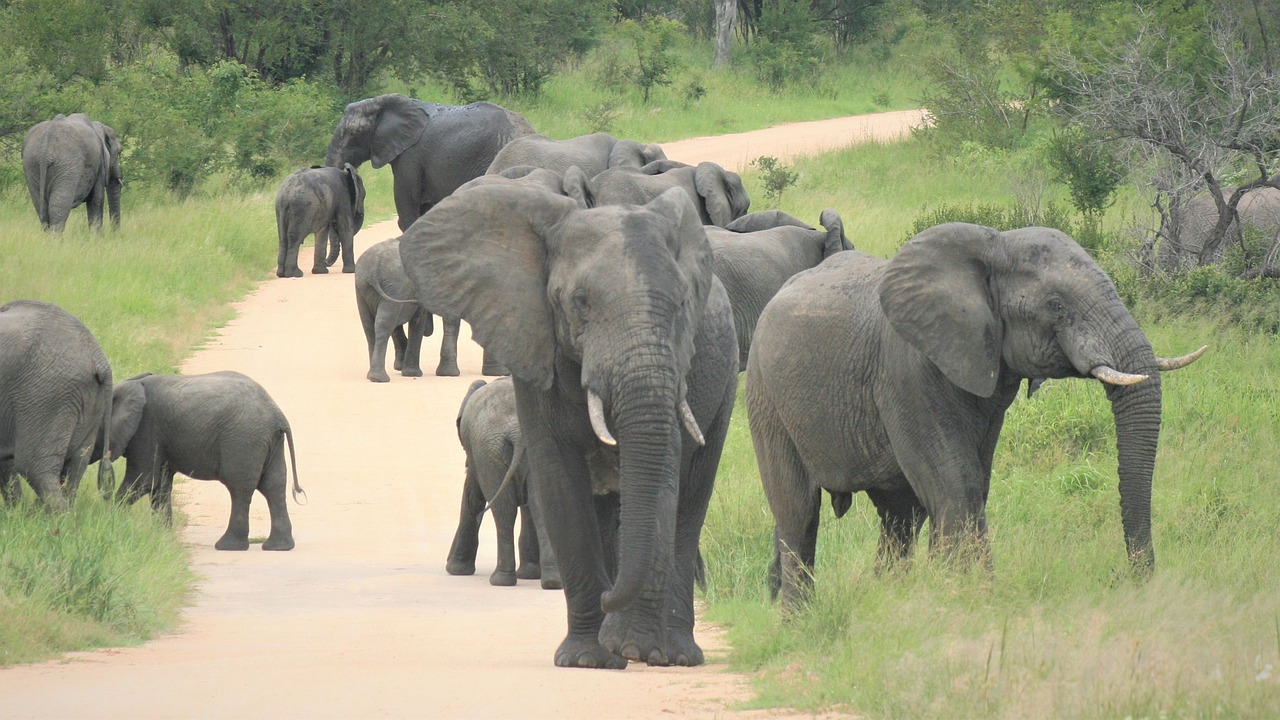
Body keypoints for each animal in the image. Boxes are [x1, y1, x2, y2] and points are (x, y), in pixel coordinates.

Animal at [0, 299, 115, 510]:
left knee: (33, 466)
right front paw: (15, 511)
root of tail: (99, 359)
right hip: (87, 403)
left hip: (44, 395)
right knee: (74, 470)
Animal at [101, 371, 304, 551]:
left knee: (240, 489)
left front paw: (113, 520)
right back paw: (279, 547)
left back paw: (228, 546)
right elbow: (159, 485)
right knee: (273, 485)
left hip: (244, 440)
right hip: (269, 442)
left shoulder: (146, 428)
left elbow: (144, 479)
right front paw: (162, 537)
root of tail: (278, 415)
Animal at [446, 378, 561, 589]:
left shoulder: (475, 456)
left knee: (503, 510)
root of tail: (517, 433)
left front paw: (455, 570)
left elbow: (472, 497)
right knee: (537, 507)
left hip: (489, 452)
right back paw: (551, 581)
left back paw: (500, 580)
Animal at [746, 222, 1207, 610]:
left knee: (899, 516)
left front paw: (958, 596)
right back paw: (800, 622)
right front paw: (969, 602)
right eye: (1056, 305)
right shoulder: (906, 372)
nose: (1130, 579)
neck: (992, 244)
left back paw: (887, 597)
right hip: (764, 394)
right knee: (799, 513)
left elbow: (972, 484)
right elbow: (957, 483)